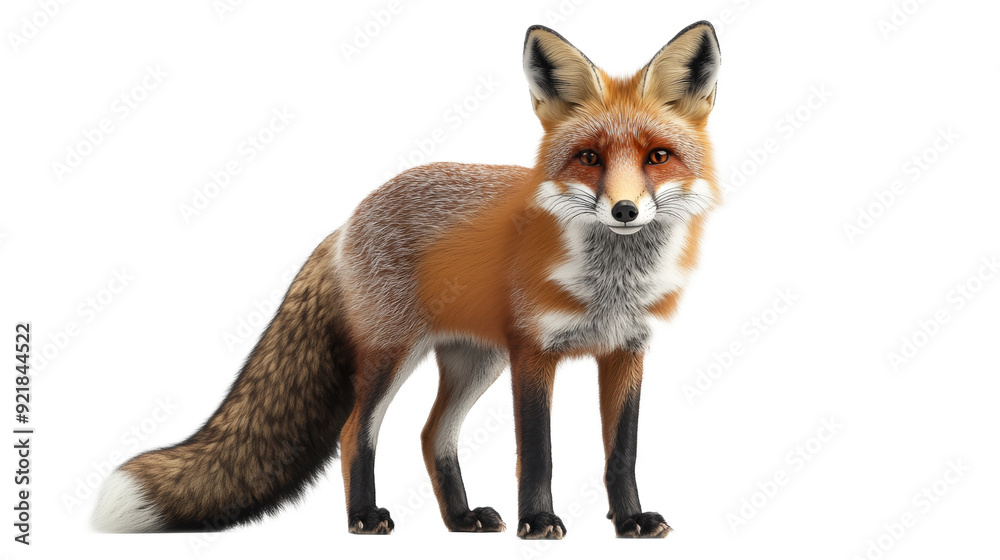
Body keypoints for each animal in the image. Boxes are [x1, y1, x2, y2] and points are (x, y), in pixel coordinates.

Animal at [91, 21, 722, 539]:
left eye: (658, 156)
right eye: (589, 158)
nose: (624, 211)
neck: (610, 285)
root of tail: (348, 221)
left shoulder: (627, 350)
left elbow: (622, 453)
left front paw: (631, 521)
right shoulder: (533, 352)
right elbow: (537, 452)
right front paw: (539, 521)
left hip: (475, 361)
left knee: (431, 434)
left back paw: (461, 518)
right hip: (392, 354)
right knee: (355, 431)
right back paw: (364, 517)